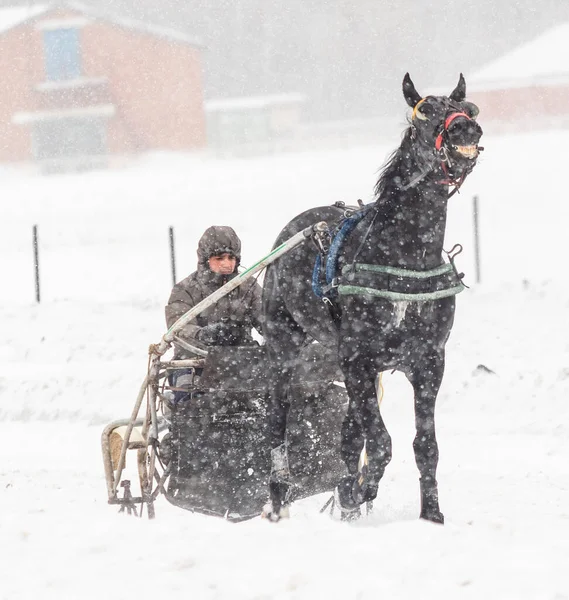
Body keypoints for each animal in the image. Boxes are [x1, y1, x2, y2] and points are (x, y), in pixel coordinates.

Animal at [260, 72, 482, 524]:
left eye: (469, 109)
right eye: (423, 114)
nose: (465, 131)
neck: (403, 259)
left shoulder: (428, 361)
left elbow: (423, 445)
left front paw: (431, 515)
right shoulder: (358, 359)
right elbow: (379, 443)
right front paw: (361, 489)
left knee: (349, 434)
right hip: (285, 351)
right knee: (278, 423)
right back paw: (279, 498)